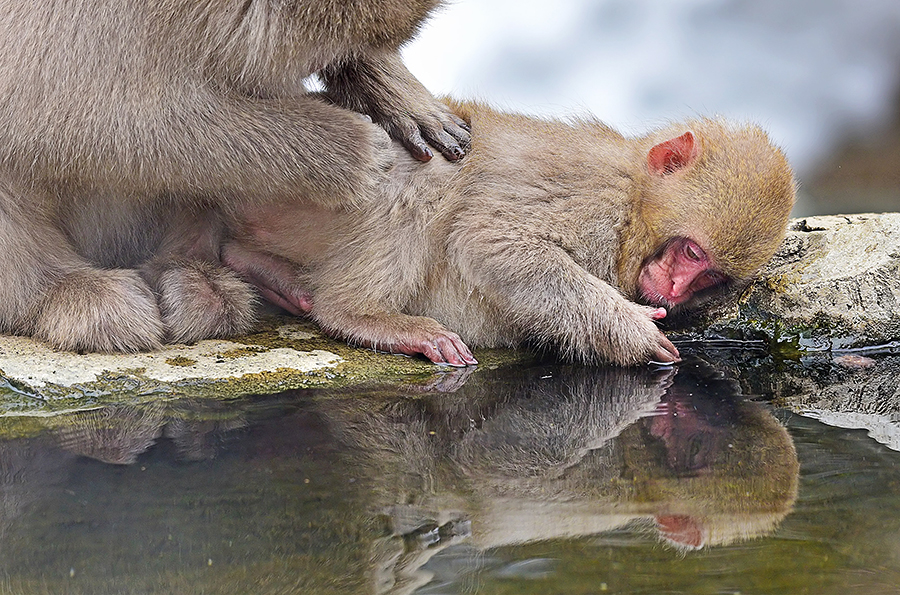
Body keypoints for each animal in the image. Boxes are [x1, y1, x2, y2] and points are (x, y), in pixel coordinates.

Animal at [224, 100, 797, 366]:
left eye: (710, 276)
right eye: (691, 251)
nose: (676, 290)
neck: (634, 201)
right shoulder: (594, 199)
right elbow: (490, 241)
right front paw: (632, 330)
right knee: (434, 174)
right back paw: (356, 313)